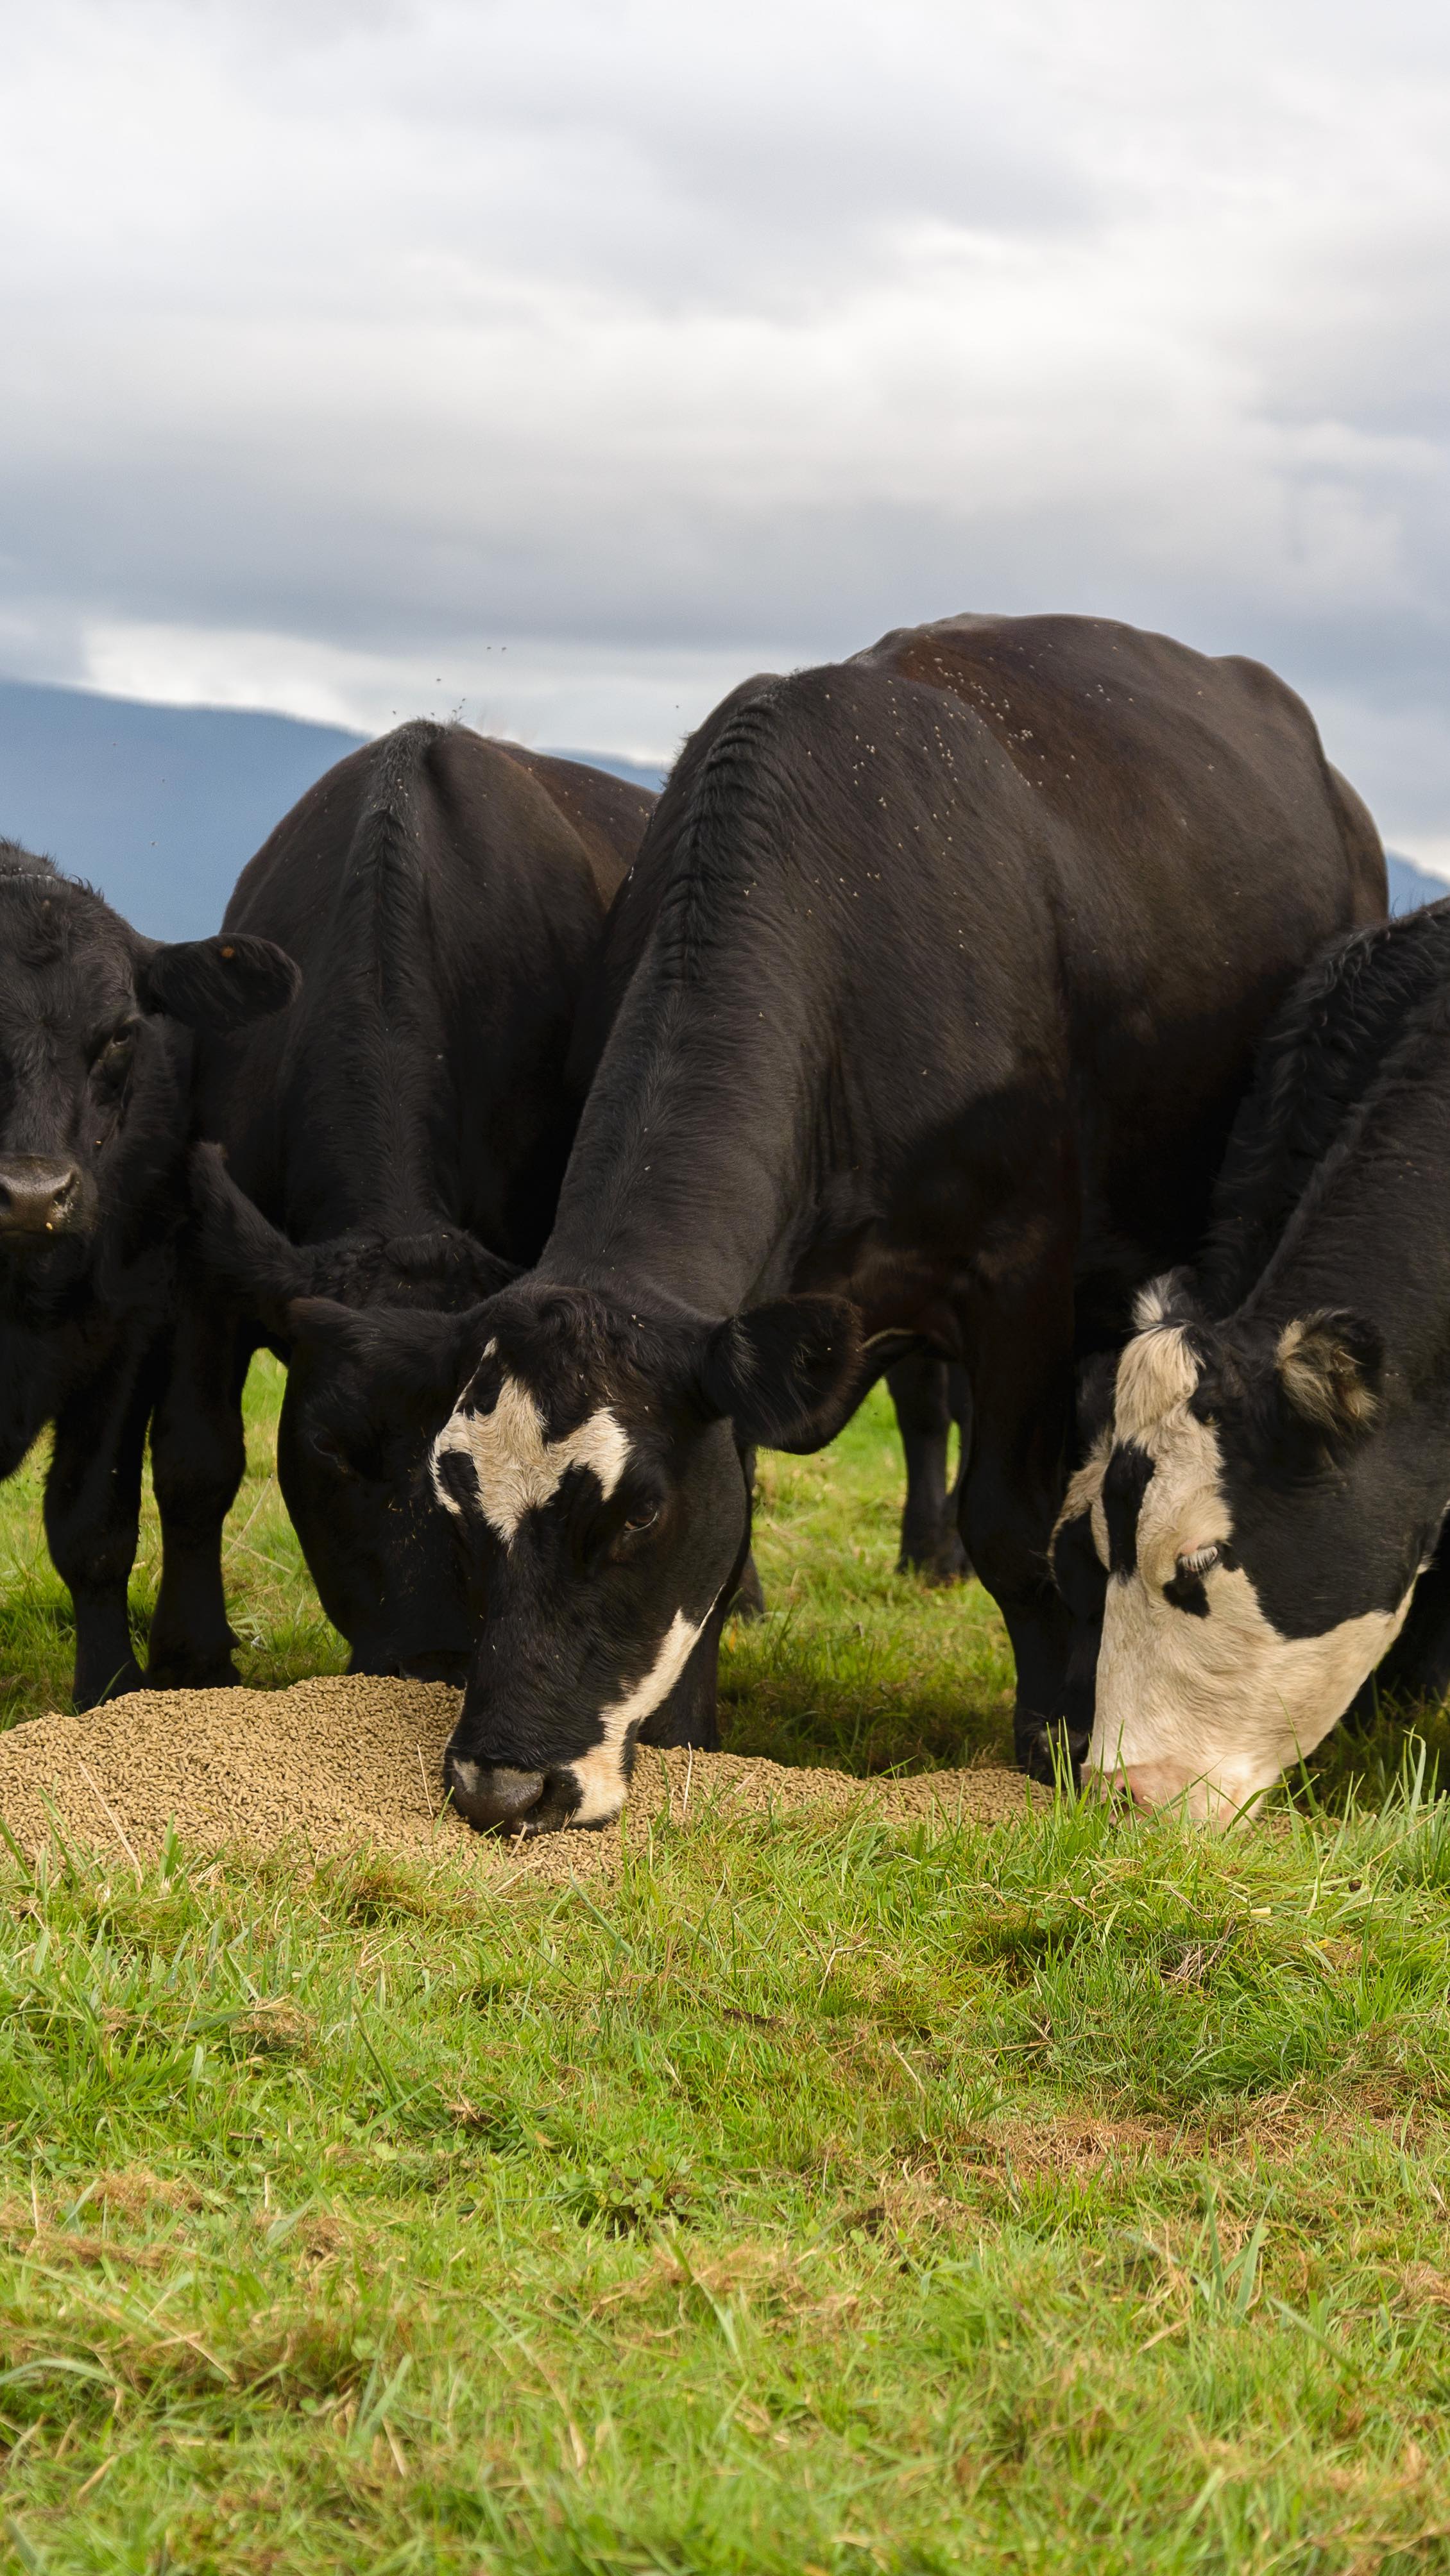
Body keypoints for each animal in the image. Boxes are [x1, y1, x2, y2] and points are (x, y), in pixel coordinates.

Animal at [289, 613, 1386, 1834]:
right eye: (458, 1504)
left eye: (636, 1514)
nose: (502, 1784)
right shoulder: (742, 1341)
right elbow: (735, 1537)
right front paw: (691, 1735)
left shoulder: (1019, 1281)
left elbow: (1011, 1525)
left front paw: (1050, 1735)